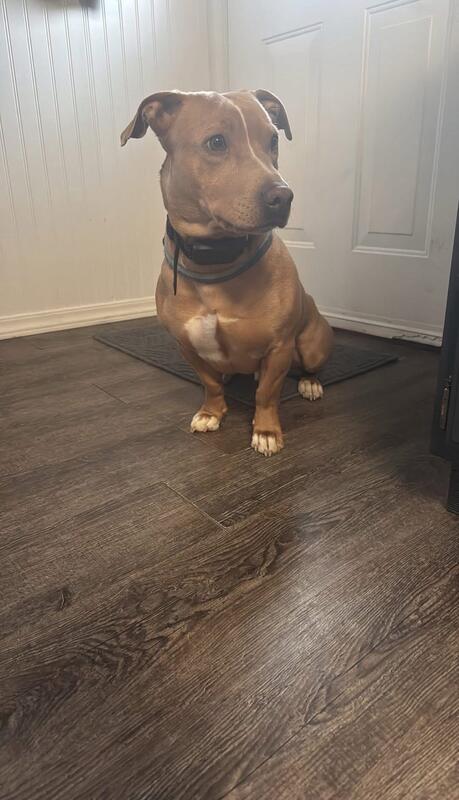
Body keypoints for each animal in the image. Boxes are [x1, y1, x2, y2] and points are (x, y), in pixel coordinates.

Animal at [121, 89, 333, 456]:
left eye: (273, 140)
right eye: (216, 142)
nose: (284, 196)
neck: (215, 259)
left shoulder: (279, 347)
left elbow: (267, 394)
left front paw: (266, 431)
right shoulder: (187, 346)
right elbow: (210, 383)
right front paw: (211, 413)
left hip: (311, 343)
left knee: (308, 367)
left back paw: (309, 384)